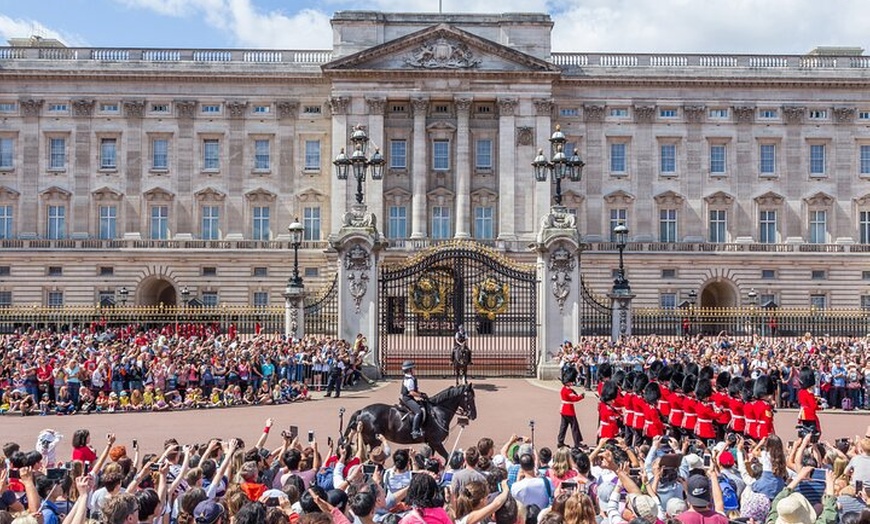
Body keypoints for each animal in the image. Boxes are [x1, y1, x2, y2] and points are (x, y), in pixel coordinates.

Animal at [346, 382, 476, 460]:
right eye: (470, 397)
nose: (474, 415)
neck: (438, 412)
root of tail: (362, 411)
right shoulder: (436, 443)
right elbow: (447, 457)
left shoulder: (432, 444)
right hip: (374, 441)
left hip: (366, 439)